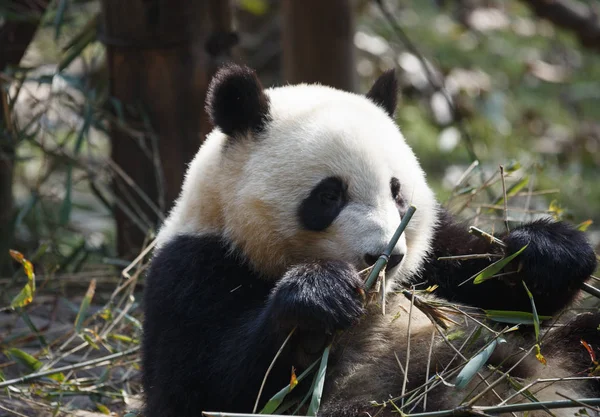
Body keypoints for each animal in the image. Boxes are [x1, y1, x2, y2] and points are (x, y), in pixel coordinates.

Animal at [142, 65, 600, 416]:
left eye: (396, 192)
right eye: (329, 195)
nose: (386, 257)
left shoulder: (434, 260)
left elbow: (504, 296)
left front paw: (546, 253)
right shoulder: (192, 269)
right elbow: (204, 389)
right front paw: (319, 299)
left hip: (565, 355)